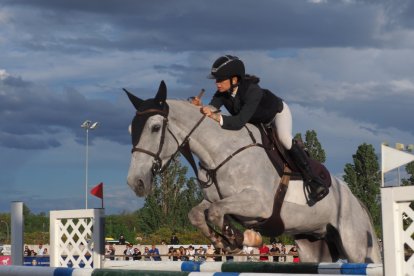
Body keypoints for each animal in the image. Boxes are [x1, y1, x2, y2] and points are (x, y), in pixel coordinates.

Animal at [125, 81, 382, 264]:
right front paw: (225, 240)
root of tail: (356, 200)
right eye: (130, 130)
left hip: (356, 244)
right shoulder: (215, 200)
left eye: (155, 127)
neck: (222, 152)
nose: (135, 182)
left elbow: (215, 212)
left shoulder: (259, 204)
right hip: (312, 245)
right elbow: (198, 214)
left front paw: (239, 239)